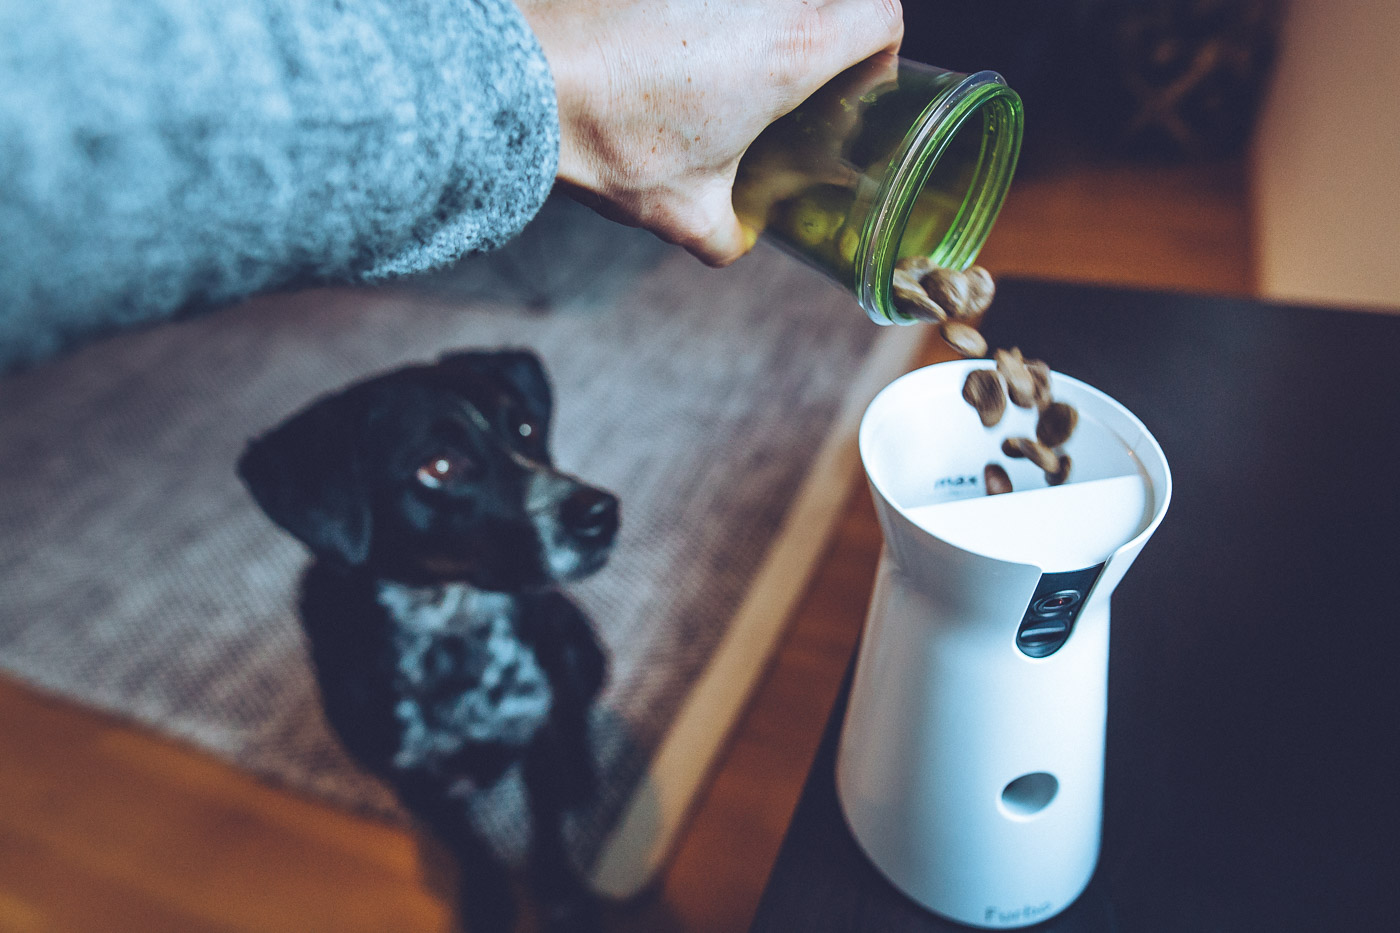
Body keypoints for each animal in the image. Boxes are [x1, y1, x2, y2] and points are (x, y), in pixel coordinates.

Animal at [238, 348, 616, 930]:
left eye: (524, 428)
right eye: (438, 466)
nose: (601, 512)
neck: (451, 635)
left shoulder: (534, 730)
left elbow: (547, 831)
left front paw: (562, 900)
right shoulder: (409, 776)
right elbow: (467, 845)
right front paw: (486, 901)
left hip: (579, 648)